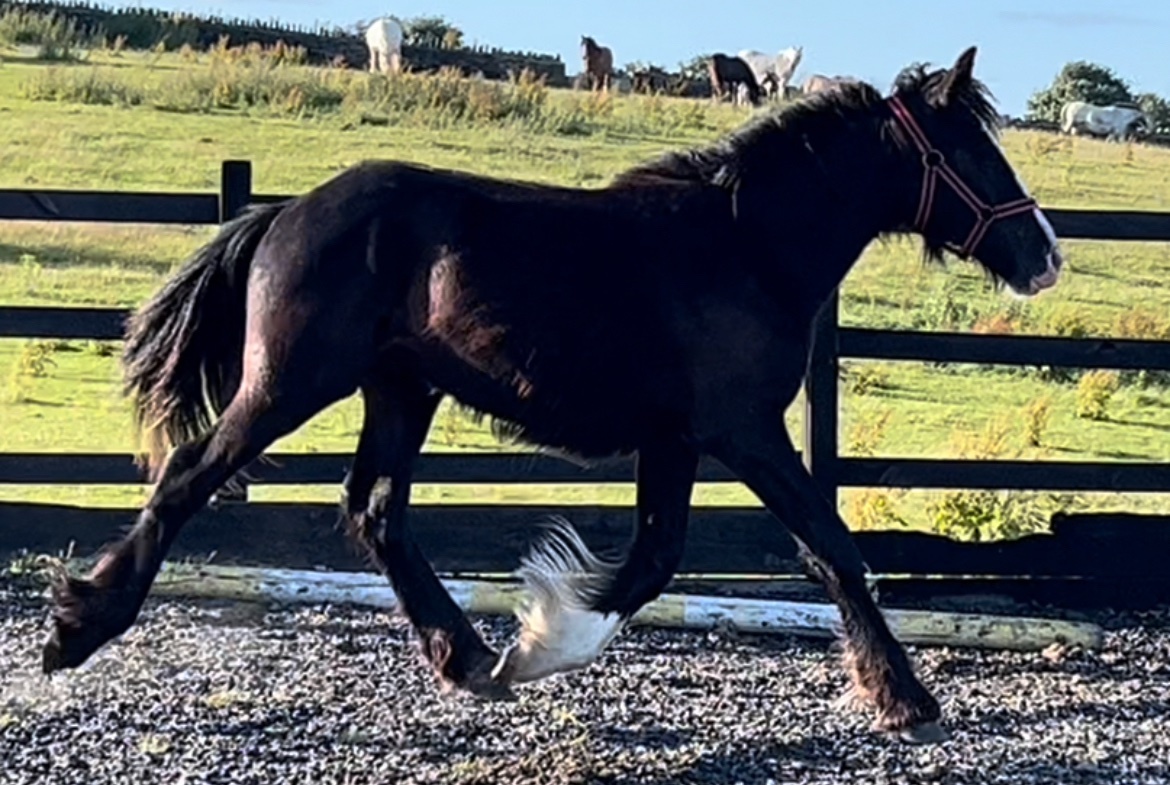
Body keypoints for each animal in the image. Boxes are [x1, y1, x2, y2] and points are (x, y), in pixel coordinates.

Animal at [43, 46, 1063, 746]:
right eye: (971, 153)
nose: (1045, 255)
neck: (745, 244)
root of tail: (284, 213)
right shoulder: (745, 431)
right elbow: (833, 550)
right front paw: (909, 698)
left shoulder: (677, 439)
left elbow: (655, 561)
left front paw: (530, 642)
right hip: (294, 380)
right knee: (188, 475)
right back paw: (76, 628)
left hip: (401, 390)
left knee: (374, 510)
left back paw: (465, 658)